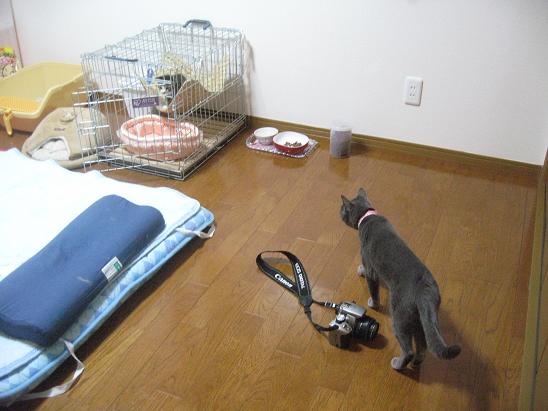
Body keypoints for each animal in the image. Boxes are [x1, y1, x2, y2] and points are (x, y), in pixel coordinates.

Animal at [340, 188, 461, 370]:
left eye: (342, 208)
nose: (339, 212)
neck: (367, 217)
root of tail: (425, 290)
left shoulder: (370, 266)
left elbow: (373, 288)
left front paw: (372, 303)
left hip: (400, 316)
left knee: (408, 349)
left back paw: (397, 364)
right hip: (421, 320)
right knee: (422, 346)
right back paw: (416, 363)